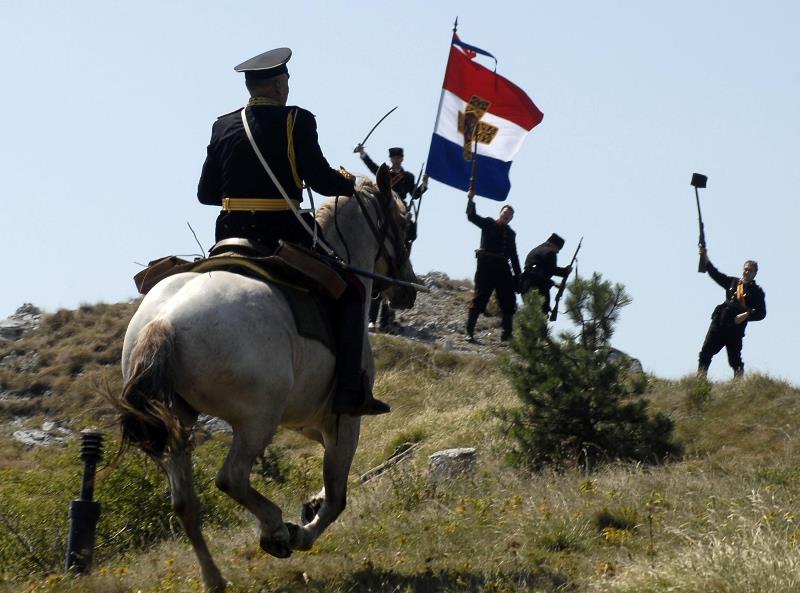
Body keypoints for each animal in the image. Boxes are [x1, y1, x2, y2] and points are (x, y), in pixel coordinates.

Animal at [112, 169, 418, 588]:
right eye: (405, 225)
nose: (407, 291)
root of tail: (164, 322)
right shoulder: (343, 418)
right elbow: (337, 495)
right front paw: (303, 529)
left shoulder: (308, 419)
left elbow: (331, 488)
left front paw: (309, 506)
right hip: (257, 421)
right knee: (231, 479)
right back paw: (276, 530)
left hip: (181, 422)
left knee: (185, 503)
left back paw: (214, 578)